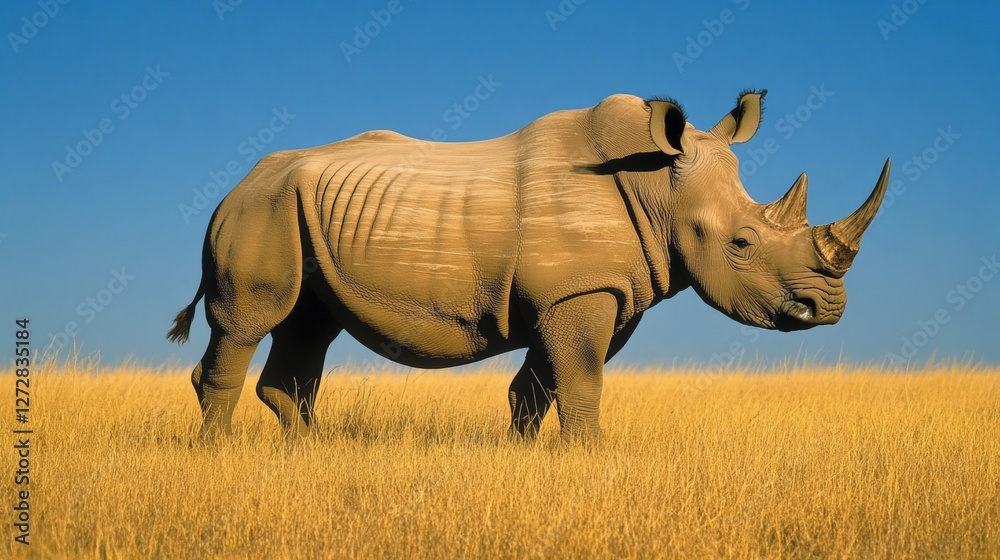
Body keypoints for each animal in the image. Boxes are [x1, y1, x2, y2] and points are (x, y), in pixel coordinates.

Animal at [168, 90, 889, 440]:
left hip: (295, 212)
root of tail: (235, 184)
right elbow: (580, 381)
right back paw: (219, 453)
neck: (659, 188)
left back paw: (308, 451)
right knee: (248, 322)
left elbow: (539, 387)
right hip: (259, 211)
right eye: (741, 243)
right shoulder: (577, 293)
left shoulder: (590, 294)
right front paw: (592, 456)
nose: (828, 309)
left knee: (308, 324)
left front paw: (529, 457)